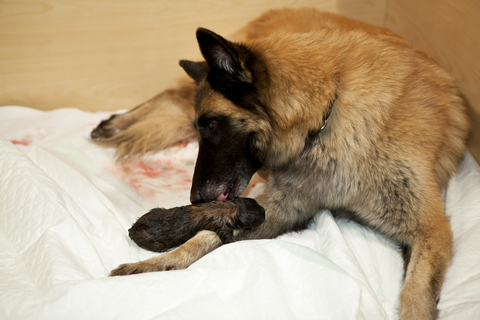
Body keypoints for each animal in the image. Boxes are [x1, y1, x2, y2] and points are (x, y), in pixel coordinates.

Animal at [129, 198, 264, 252]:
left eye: (257, 203)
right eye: (257, 216)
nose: (264, 211)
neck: (229, 207)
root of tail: (132, 229)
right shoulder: (221, 227)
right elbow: (228, 239)